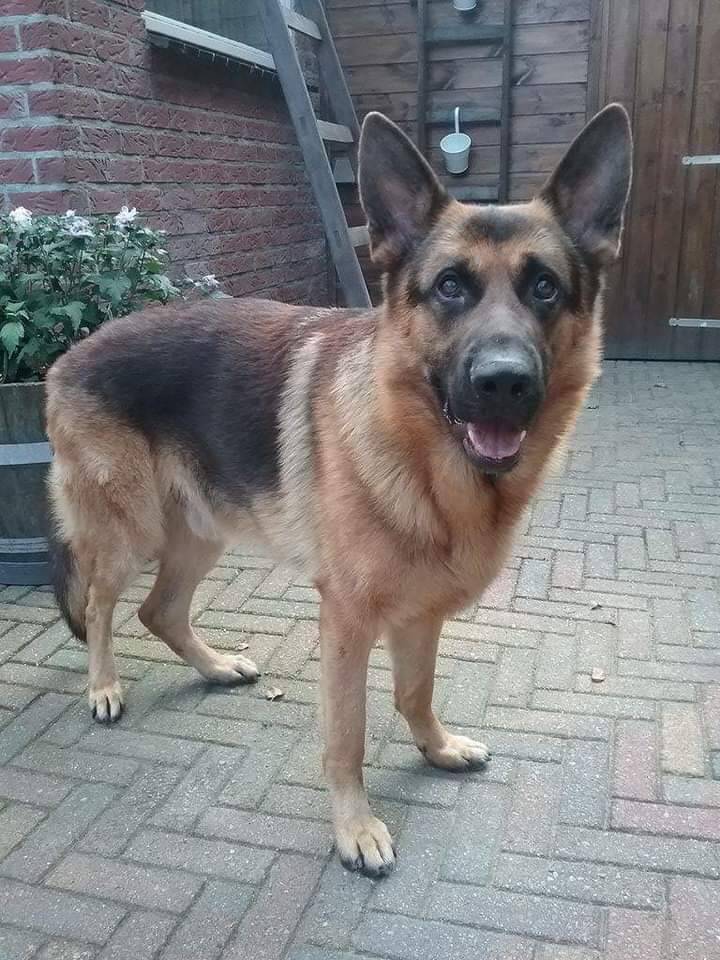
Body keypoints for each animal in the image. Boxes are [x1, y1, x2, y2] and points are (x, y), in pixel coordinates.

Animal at [45, 104, 632, 877]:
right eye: (450, 287)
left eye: (545, 288)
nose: (503, 382)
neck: (424, 463)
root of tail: (70, 353)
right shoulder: (348, 622)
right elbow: (347, 737)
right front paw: (354, 828)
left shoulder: (421, 611)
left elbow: (415, 691)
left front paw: (436, 749)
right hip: (129, 532)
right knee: (102, 605)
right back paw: (104, 687)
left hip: (201, 532)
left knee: (159, 611)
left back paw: (215, 667)